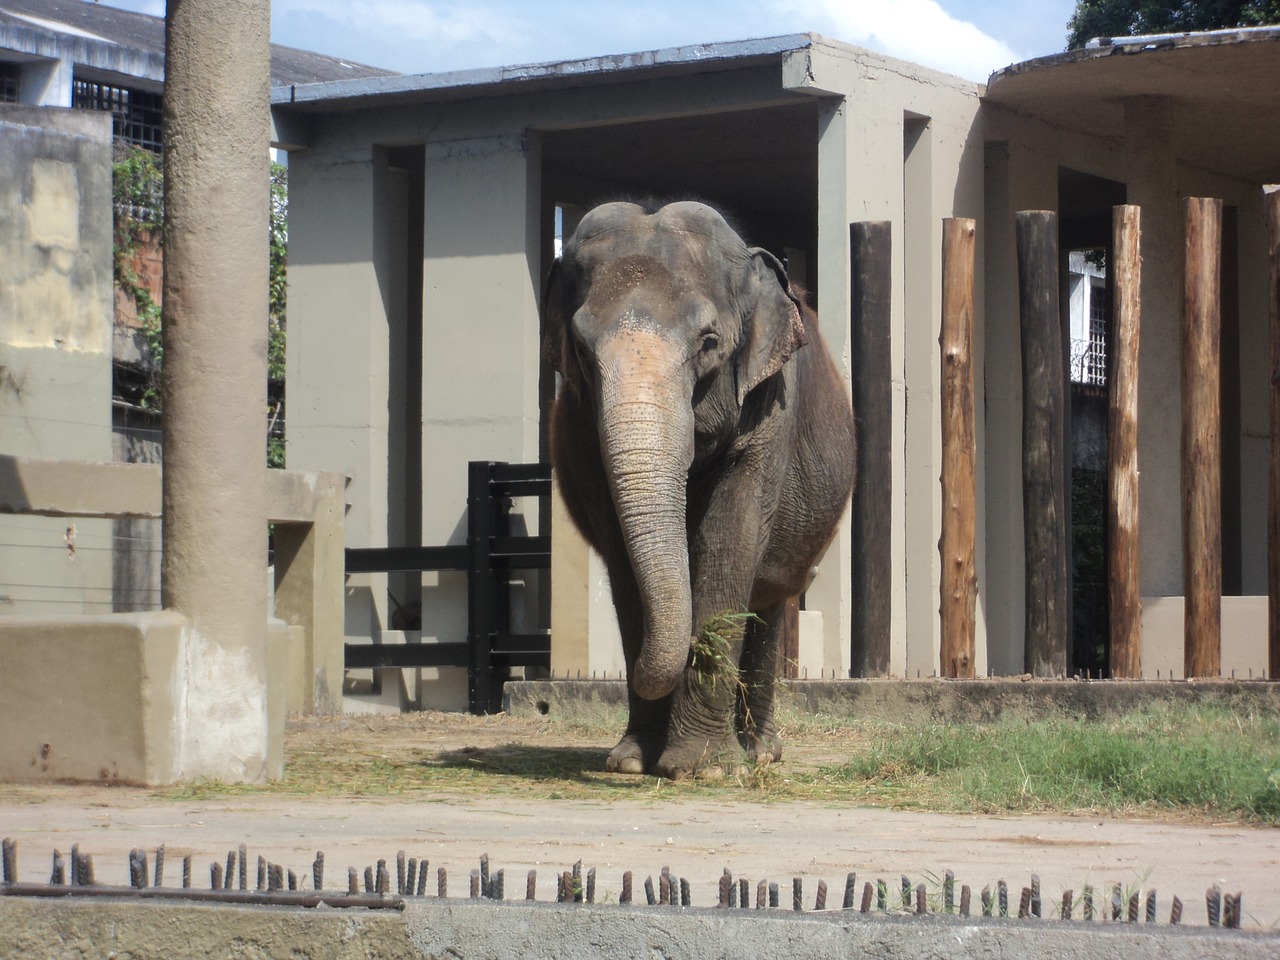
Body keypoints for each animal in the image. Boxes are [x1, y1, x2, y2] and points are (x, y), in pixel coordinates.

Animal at [545, 200, 855, 783]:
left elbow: (727, 543)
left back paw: (759, 752)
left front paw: (701, 769)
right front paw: (631, 763)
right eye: (580, 347)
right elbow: (623, 565)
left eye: (709, 342)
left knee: (768, 602)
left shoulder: (768, 413)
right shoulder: (580, 432)